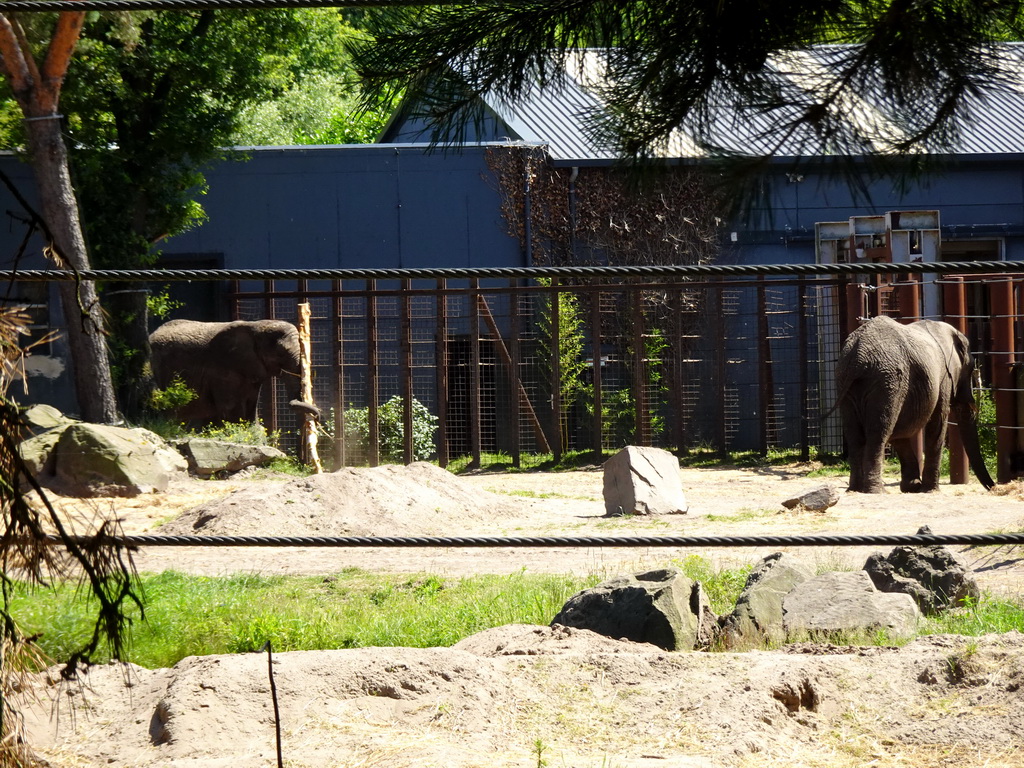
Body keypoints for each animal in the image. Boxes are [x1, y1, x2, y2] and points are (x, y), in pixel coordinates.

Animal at [148, 317, 319, 430]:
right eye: (280, 354)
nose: (317, 416)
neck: (256, 326)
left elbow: (251, 404)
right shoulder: (223, 367)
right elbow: (230, 408)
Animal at [839, 315, 991, 495]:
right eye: (970, 370)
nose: (993, 487)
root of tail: (857, 357)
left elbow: (900, 431)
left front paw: (912, 486)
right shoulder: (943, 377)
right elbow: (937, 421)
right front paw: (929, 490)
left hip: (848, 384)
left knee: (855, 435)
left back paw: (854, 489)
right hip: (887, 381)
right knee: (879, 432)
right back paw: (877, 491)